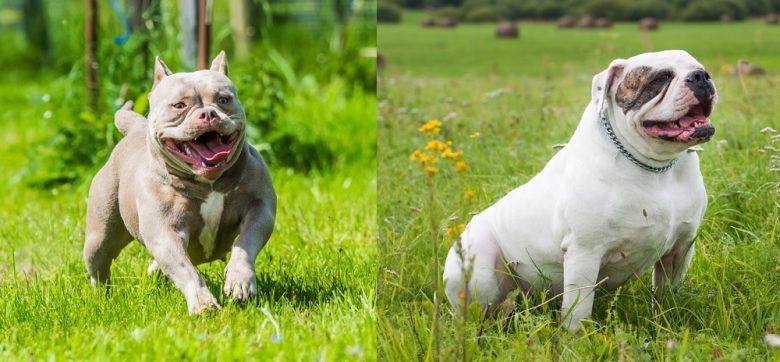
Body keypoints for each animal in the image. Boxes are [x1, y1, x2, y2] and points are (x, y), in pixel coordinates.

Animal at [82, 51, 276, 314]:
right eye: (179, 105)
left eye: (223, 99)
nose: (208, 114)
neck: (209, 183)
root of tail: (135, 129)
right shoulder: (165, 233)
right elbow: (187, 271)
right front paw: (204, 304)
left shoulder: (260, 210)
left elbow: (245, 243)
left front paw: (240, 280)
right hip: (99, 238)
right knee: (99, 268)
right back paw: (102, 300)